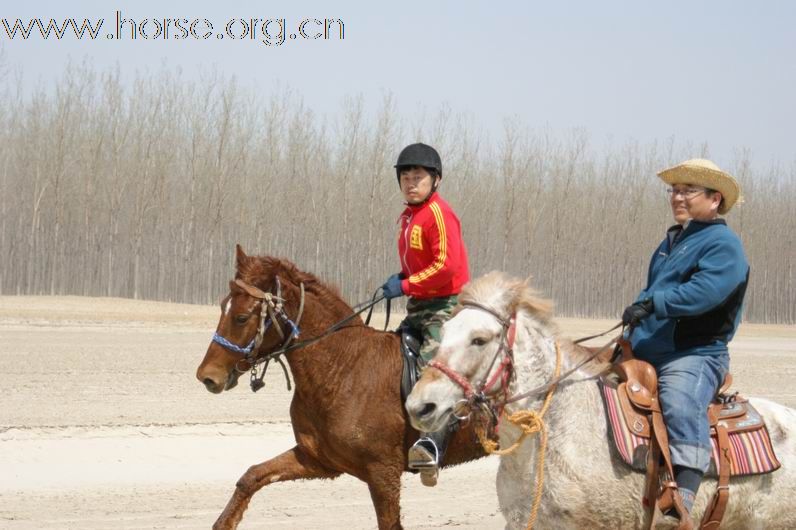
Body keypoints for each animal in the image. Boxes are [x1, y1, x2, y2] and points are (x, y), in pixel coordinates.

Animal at [196, 246, 488, 528]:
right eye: (223, 306)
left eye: (242, 317)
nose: (207, 376)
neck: (343, 367)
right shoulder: (317, 460)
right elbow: (251, 476)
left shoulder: (383, 473)